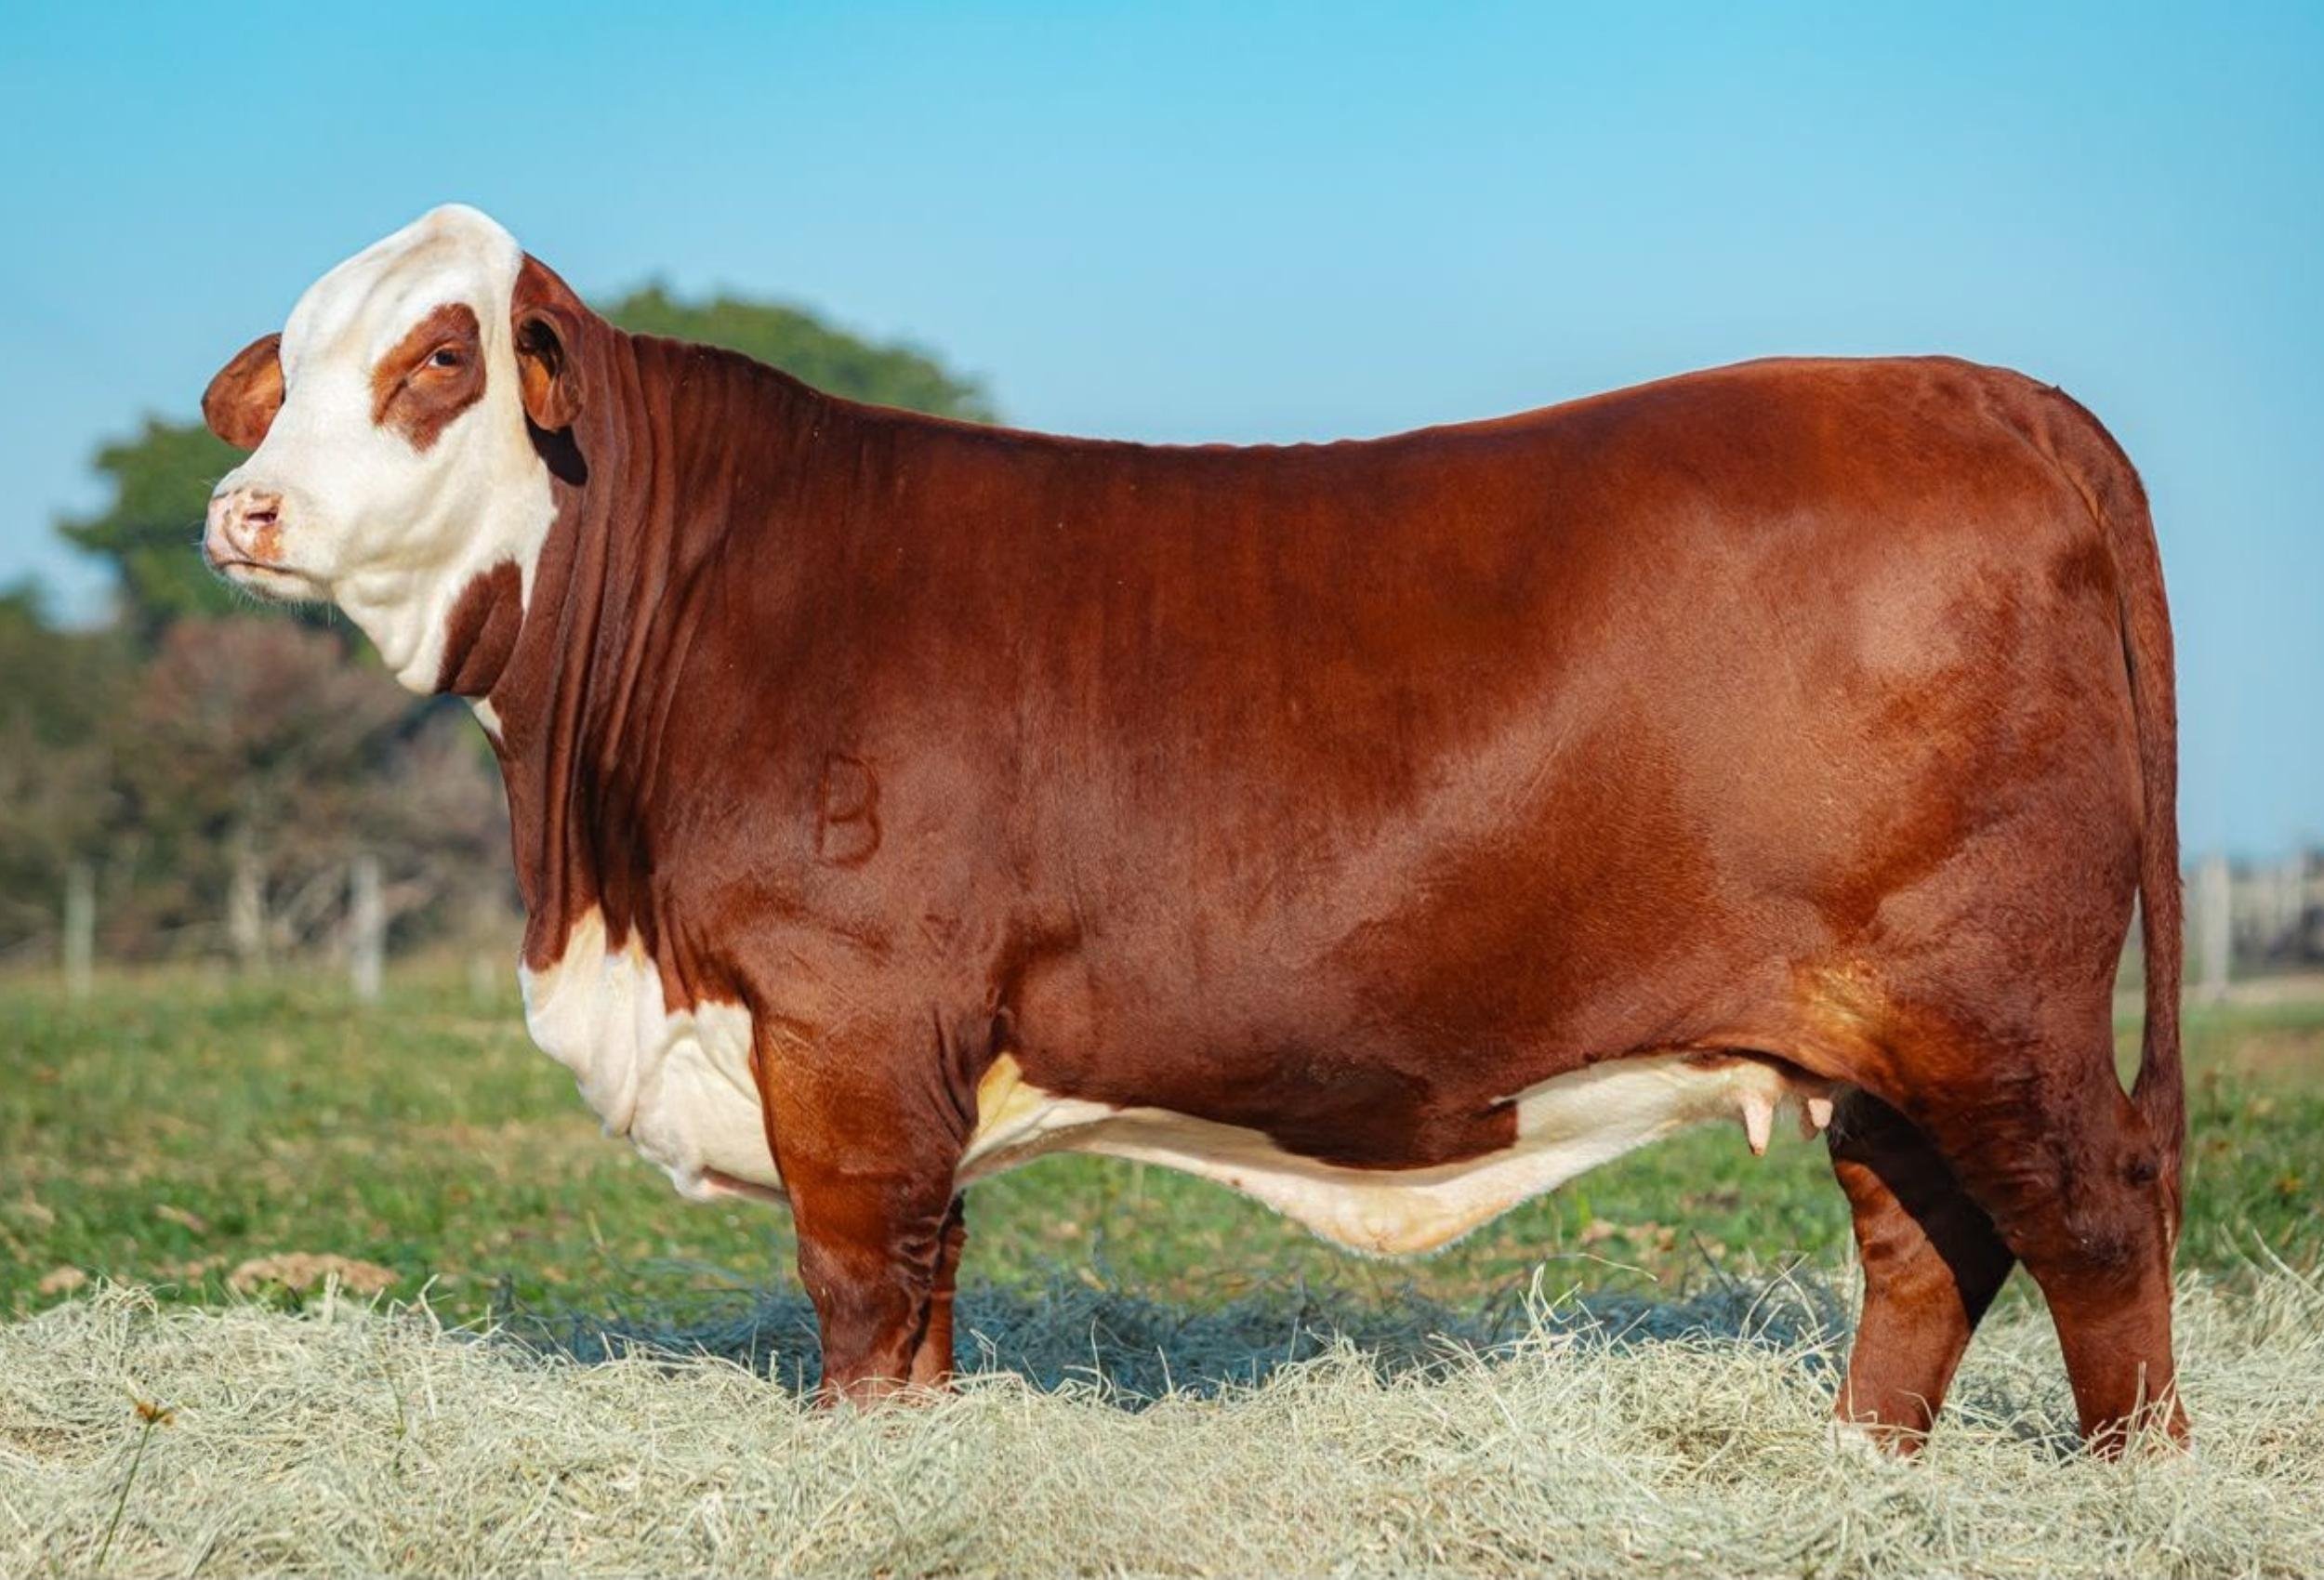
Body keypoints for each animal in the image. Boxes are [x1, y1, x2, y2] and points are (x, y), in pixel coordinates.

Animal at [200, 205, 2185, 1452]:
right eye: (282, 369)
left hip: (1994, 992)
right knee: (1926, 1236)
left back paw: (2128, 1491)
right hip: (1882, 1028)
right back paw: (1860, 1467)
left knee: (2093, 1211)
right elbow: (930, 1296)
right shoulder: (910, 1061)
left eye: (439, 360)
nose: (242, 508)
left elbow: (859, 1289)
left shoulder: (847, 1026)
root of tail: (1978, 387)